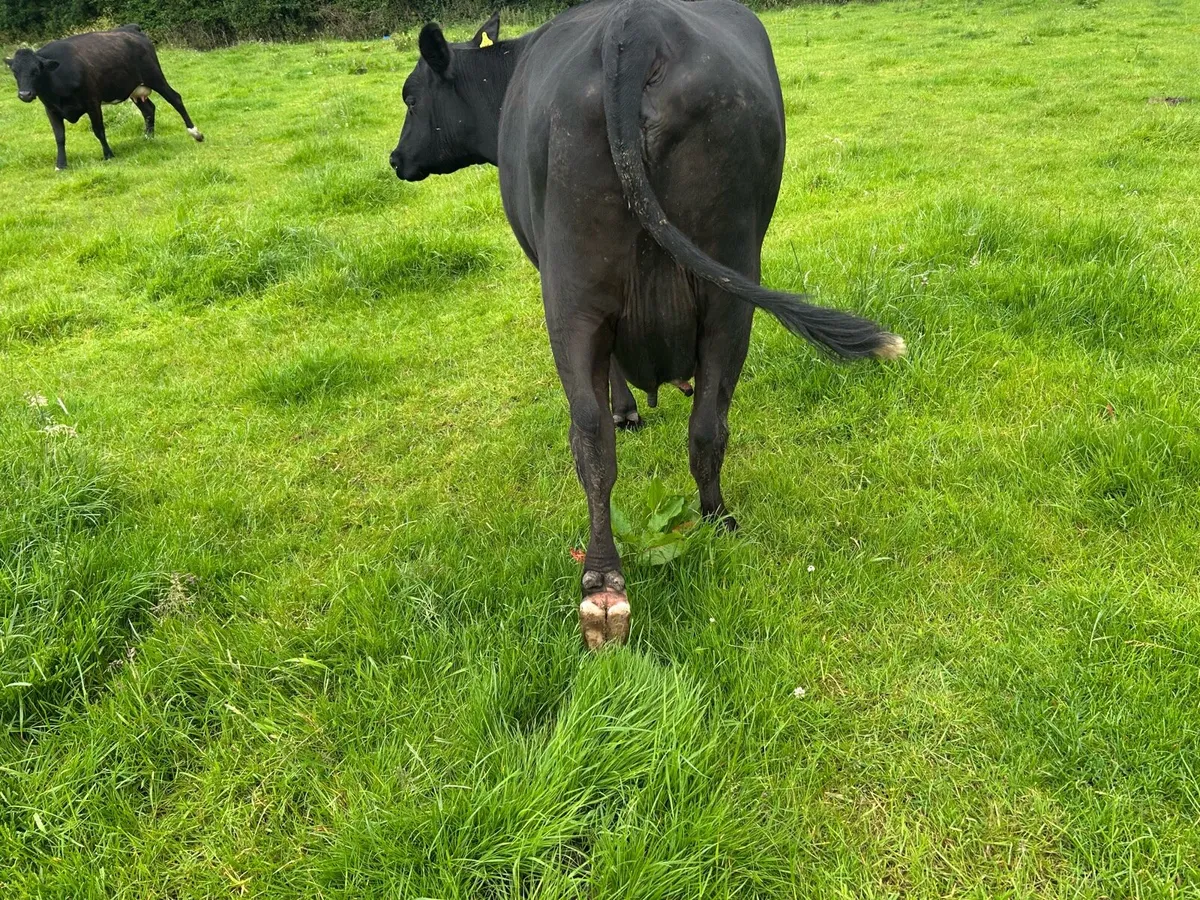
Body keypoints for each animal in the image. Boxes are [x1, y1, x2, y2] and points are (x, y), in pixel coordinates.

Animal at [5, 24, 203, 171]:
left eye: (36, 70)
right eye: (14, 71)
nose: (25, 94)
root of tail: (131, 28)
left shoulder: (92, 102)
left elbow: (98, 130)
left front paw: (108, 154)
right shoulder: (51, 109)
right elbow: (59, 137)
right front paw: (61, 165)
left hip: (154, 76)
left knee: (175, 98)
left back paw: (195, 133)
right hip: (133, 88)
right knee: (148, 109)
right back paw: (148, 137)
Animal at [389, 0, 906, 649]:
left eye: (411, 97)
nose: (395, 159)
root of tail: (634, 28)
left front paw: (628, 410)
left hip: (571, 296)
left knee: (589, 438)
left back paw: (603, 584)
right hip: (730, 286)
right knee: (708, 425)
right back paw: (716, 520)